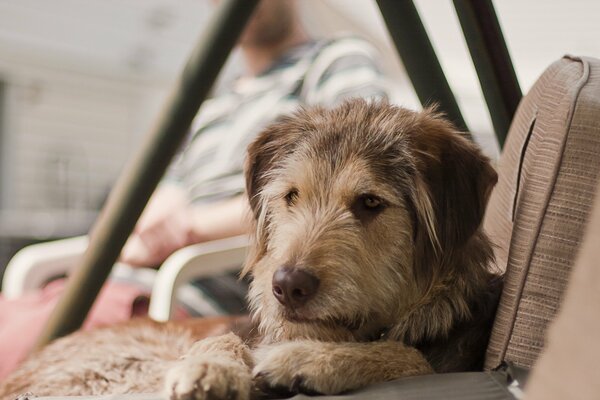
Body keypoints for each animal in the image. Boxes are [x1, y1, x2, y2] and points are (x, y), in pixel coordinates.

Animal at [0, 100, 502, 400]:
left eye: (371, 203)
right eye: (291, 196)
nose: (287, 285)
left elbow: (412, 357)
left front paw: (310, 360)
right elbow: (220, 338)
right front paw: (209, 367)